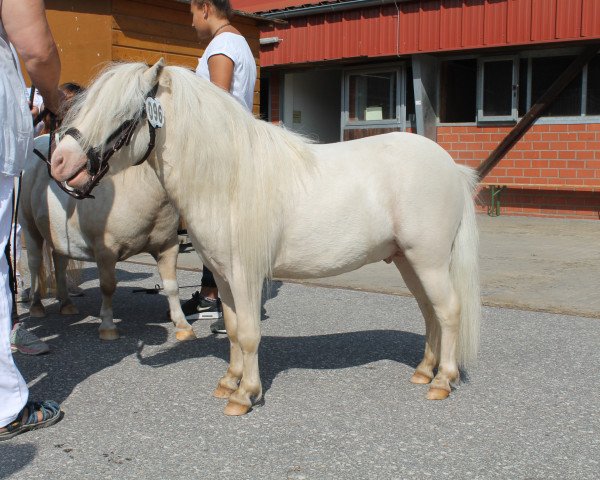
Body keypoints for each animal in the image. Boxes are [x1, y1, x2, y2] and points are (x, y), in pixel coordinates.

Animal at [19, 133, 195, 340]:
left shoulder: (167, 247)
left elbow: (172, 286)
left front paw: (182, 325)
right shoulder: (106, 252)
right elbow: (108, 286)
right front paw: (108, 327)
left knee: (60, 262)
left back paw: (66, 304)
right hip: (30, 228)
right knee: (34, 263)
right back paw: (36, 306)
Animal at [52, 59, 482, 412]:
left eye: (122, 113)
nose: (60, 161)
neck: (226, 179)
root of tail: (450, 165)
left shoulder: (246, 275)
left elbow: (249, 334)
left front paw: (246, 395)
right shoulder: (223, 276)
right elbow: (232, 328)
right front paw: (229, 382)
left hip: (428, 259)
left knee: (448, 310)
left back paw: (443, 381)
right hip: (408, 260)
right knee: (429, 311)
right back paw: (424, 371)